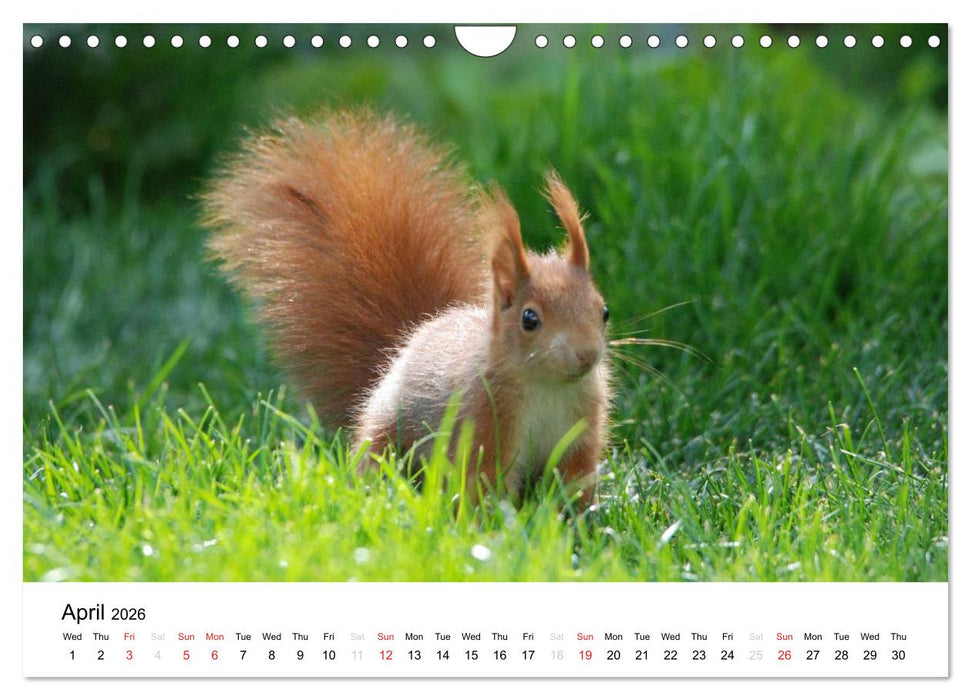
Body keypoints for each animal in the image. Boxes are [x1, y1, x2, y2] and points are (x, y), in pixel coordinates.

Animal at [202, 109, 611, 509]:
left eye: (603, 311)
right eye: (530, 319)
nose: (586, 355)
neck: (547, 387)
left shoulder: (581, 433)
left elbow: (574, 484)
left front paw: (578, 521)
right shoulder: (484, 419)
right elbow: (483, 481)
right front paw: (493, 524)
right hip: (386, 431)